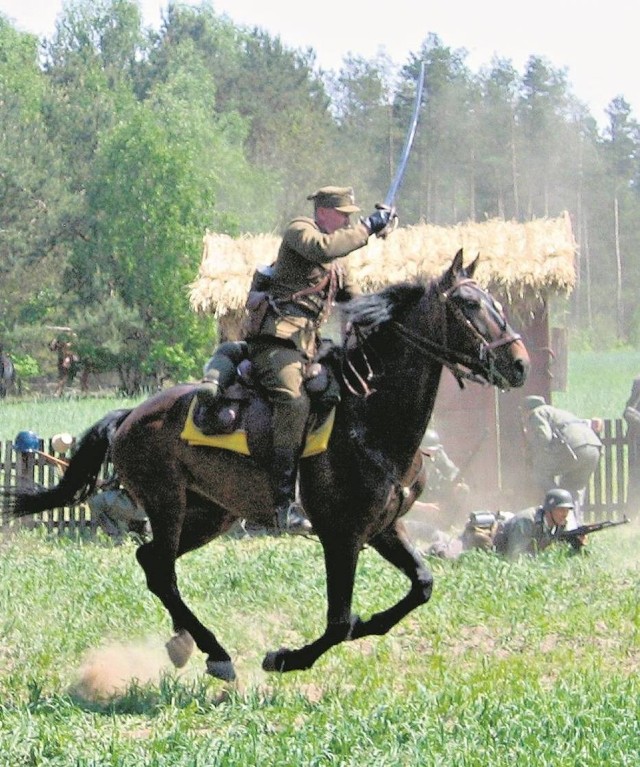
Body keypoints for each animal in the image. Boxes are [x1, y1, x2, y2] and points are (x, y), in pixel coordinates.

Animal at [5, 250, 528, 680]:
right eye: (469, 305)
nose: (519, 364)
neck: (369, 417)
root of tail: (131, 415)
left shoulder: (382, 528)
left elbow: (420, 586)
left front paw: (368, 625)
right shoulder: (341, 536)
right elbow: (340, 622)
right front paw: (285, 658)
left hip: (212, 514)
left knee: (152, 561)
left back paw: (186, 643)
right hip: (167, 504)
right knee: (161, 571)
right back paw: (215, 652)